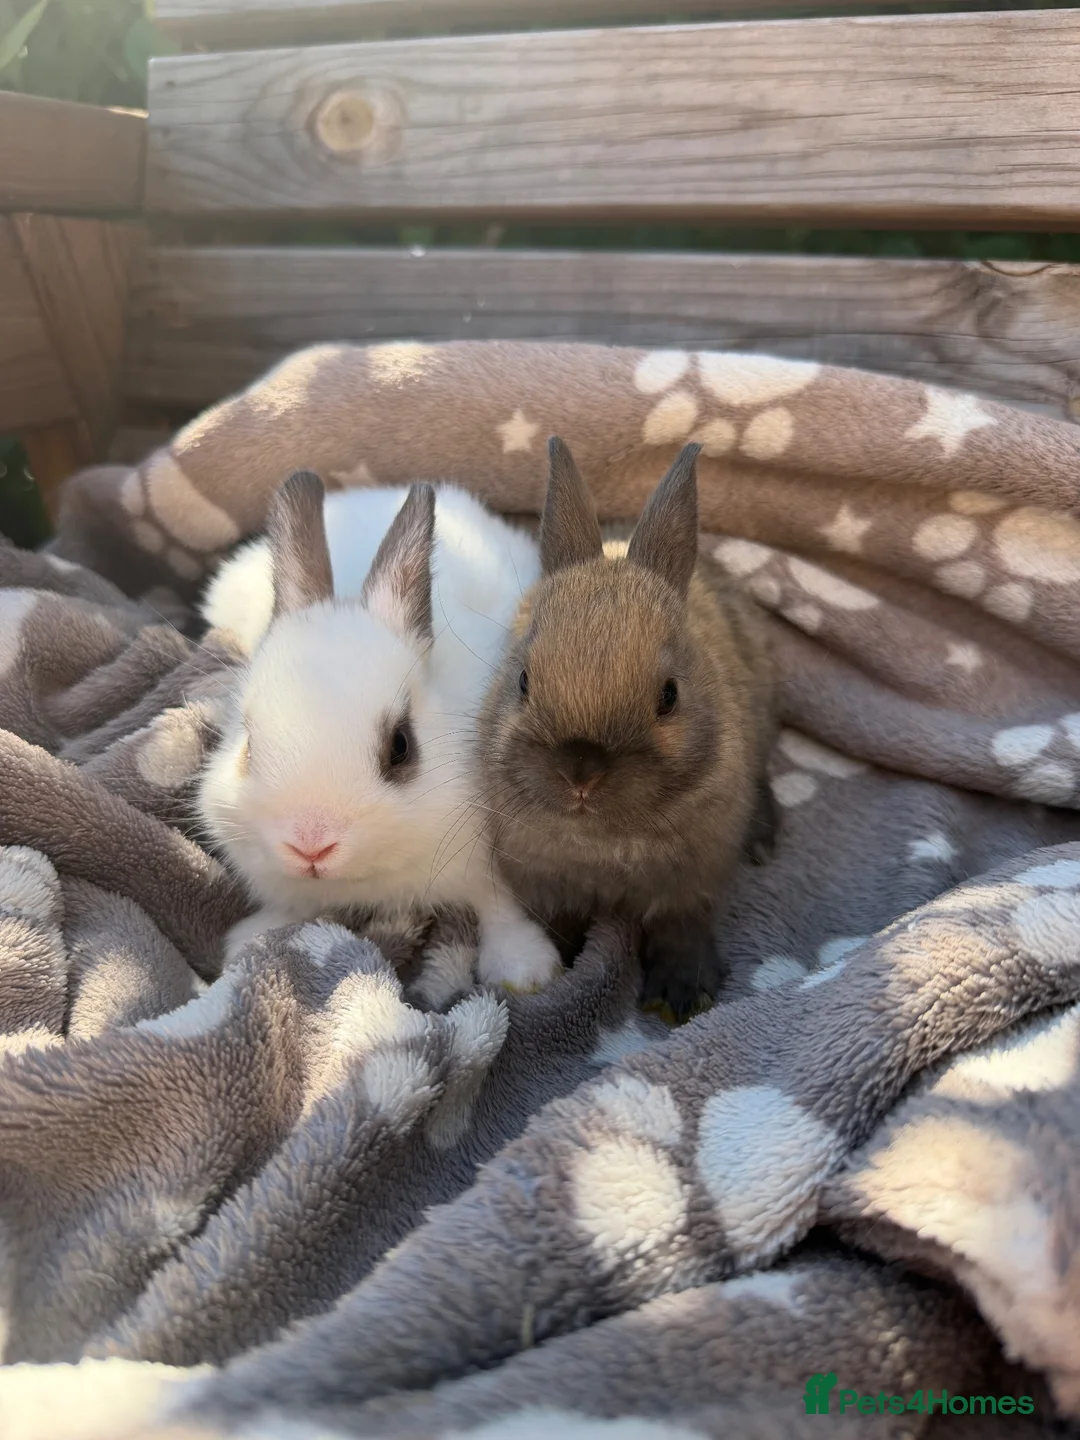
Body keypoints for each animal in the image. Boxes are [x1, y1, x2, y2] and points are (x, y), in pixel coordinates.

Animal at [197, 469, 564, 997]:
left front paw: (525, 970)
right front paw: (250, 939)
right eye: (247, 744)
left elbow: (499, 902)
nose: (311, 845)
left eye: (401, 746)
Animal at [477, 437, 776, 1018]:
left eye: (669, 695)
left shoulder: (694, 879)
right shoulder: (550, 889)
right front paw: (567, 976)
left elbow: (682, 924)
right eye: (523, 680)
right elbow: (565, 930)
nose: (580, 773)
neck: (603, 837)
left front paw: (683, 993)